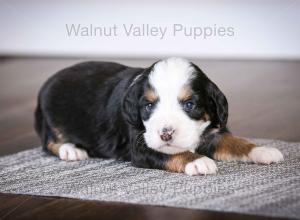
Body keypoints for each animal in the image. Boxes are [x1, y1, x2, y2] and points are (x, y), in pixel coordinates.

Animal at [35, 58, 284, 175]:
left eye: (190, 104)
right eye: (148, 106)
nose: (166, 134)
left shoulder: (212, 133)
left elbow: (235, 141)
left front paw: (263, 150)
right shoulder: (141, 145)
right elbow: (173, 153)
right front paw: (198, 161)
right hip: (50, 119)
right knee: (48, 142)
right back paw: (71, 150)